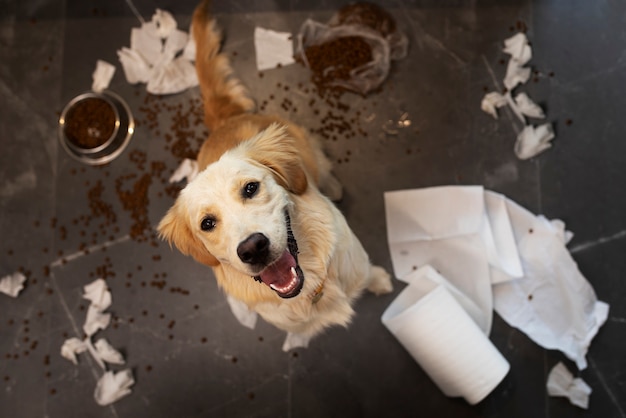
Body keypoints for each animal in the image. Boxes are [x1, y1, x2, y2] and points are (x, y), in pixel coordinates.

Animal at [156, 0, 390, 348]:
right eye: (207, 223)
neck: (311, 286)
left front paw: (379, 281)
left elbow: (369, 273)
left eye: (251, 188)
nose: (253, 248)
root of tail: (224, 122)